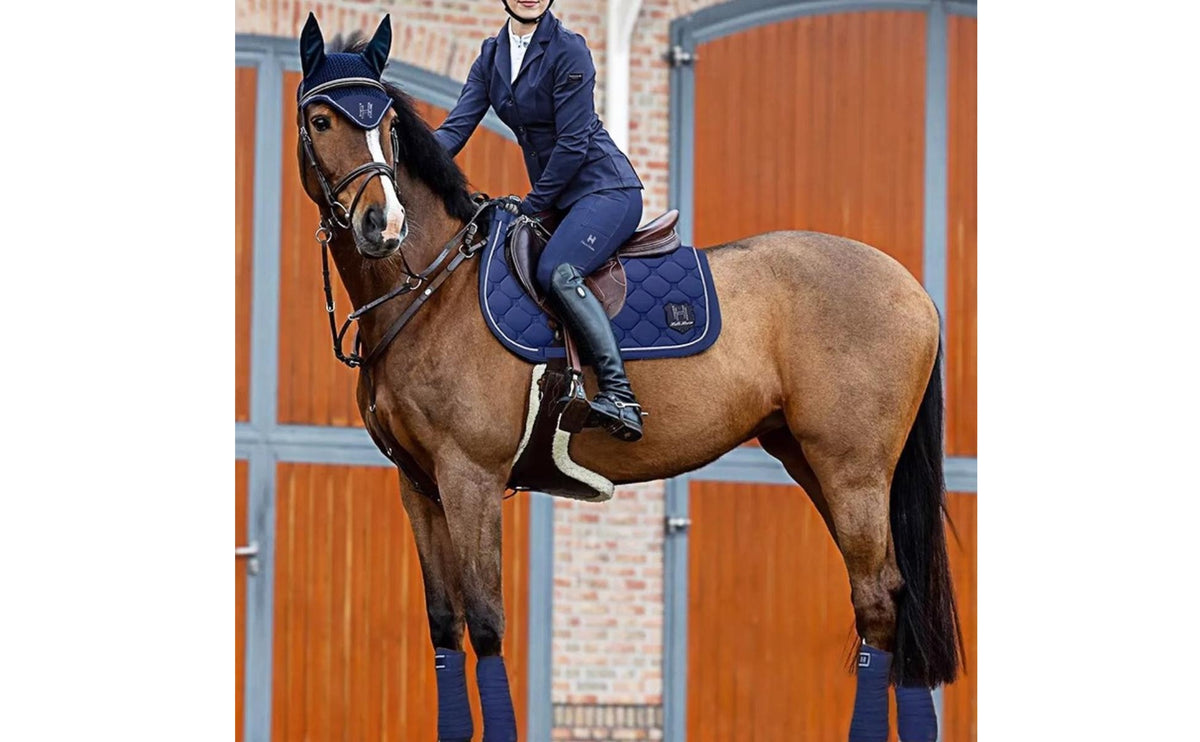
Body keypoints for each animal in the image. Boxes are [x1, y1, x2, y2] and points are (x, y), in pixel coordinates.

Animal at [293, 16, 960, 742]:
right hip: (812, 462)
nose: (382, 226)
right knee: (888, 596)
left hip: (854, 472)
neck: (435, 287)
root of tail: (911, 288)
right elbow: (445, 626)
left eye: (387, 124)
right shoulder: (418, 486)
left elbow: (488, 624)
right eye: (322, 120)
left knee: (877, 602)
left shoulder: (470, 478)